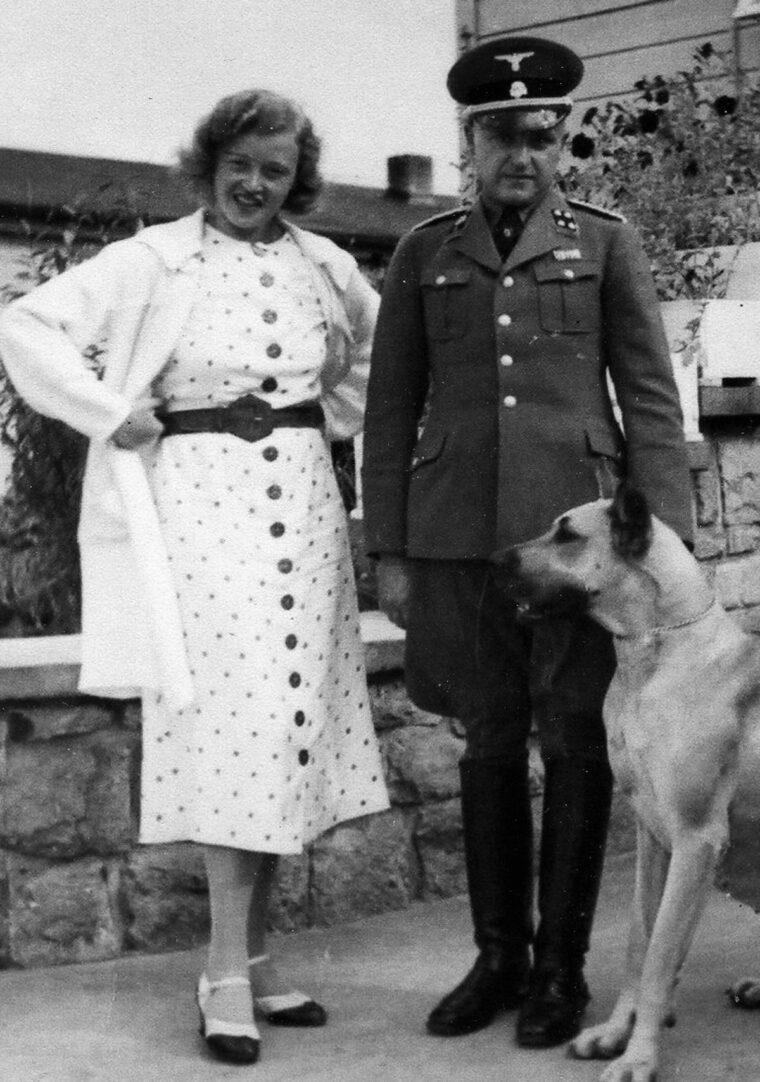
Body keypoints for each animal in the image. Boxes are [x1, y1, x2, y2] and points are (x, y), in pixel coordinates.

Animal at [498, 489, 760, 1082]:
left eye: (567, 535)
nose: (493, 561)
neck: (653, 651)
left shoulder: (695, 838)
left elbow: (662, 952)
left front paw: (639, 1055)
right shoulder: (651, 834)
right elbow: (640, 943)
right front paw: (618, 1032)